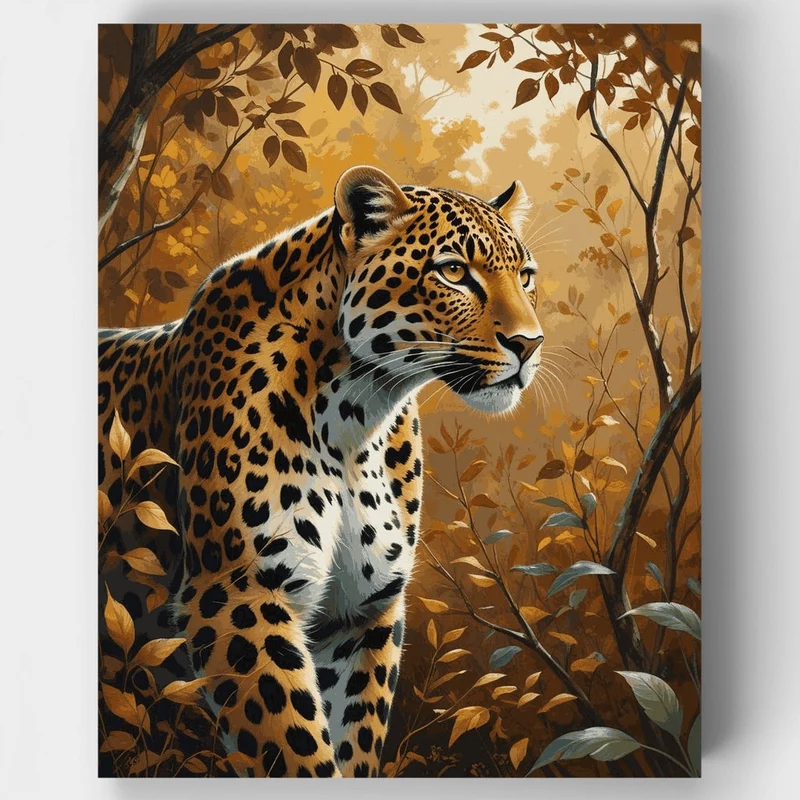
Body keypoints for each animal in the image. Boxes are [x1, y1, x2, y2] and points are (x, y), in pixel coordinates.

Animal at [98, 165, 545, 777]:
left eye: (525, 277)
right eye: (453, 271)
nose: (530, 344)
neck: (356, 415)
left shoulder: (363, 610)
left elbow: (353, 734)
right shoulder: (236, 595)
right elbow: (293, 749)